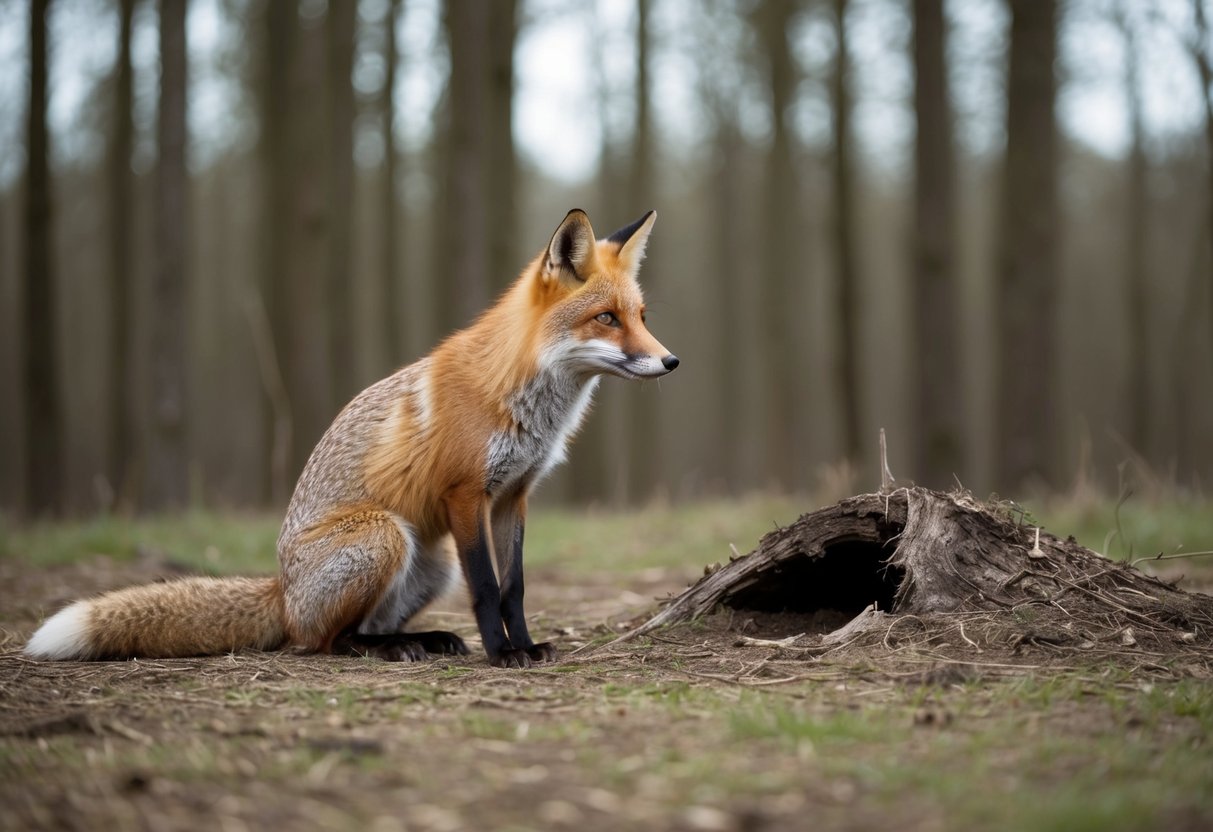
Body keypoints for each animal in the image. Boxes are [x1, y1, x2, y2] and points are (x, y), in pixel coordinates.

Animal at [25, 209, 677, 668]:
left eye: (642, 317)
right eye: (607, 319)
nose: (672, 361)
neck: (520, 394)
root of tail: (282, 589)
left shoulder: (512, 496)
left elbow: (514, 587)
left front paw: (528, 646)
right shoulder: (465, 493)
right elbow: (488, 589)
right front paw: (502, 654)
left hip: (429, 562)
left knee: (362, 627)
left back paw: (422, 639)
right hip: (384, 535)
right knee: (321, 641)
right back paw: (388, 649)